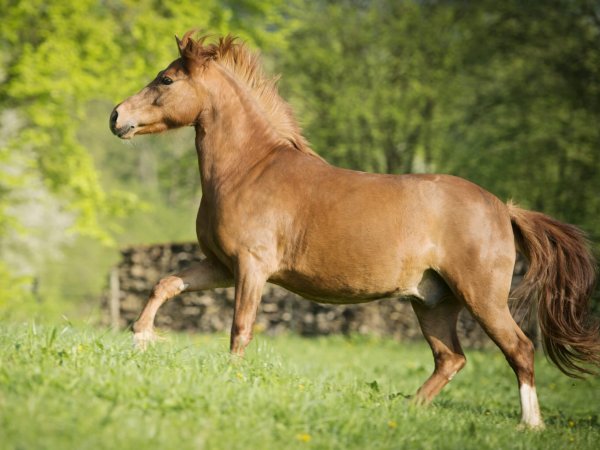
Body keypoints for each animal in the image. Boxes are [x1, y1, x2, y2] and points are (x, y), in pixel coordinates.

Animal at [109, 31, 600, 428]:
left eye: (165, 80)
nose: (116, 116)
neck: (248, 170)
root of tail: (503, 207)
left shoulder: (251, 268)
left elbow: (240, 329)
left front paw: (231, 379)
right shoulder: (221, 266)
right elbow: (164, 283)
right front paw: (140, 339)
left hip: (483, 297)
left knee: (519, 349)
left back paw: (529, 425)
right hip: (434, 303)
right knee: (450, 359)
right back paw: (404, 411)